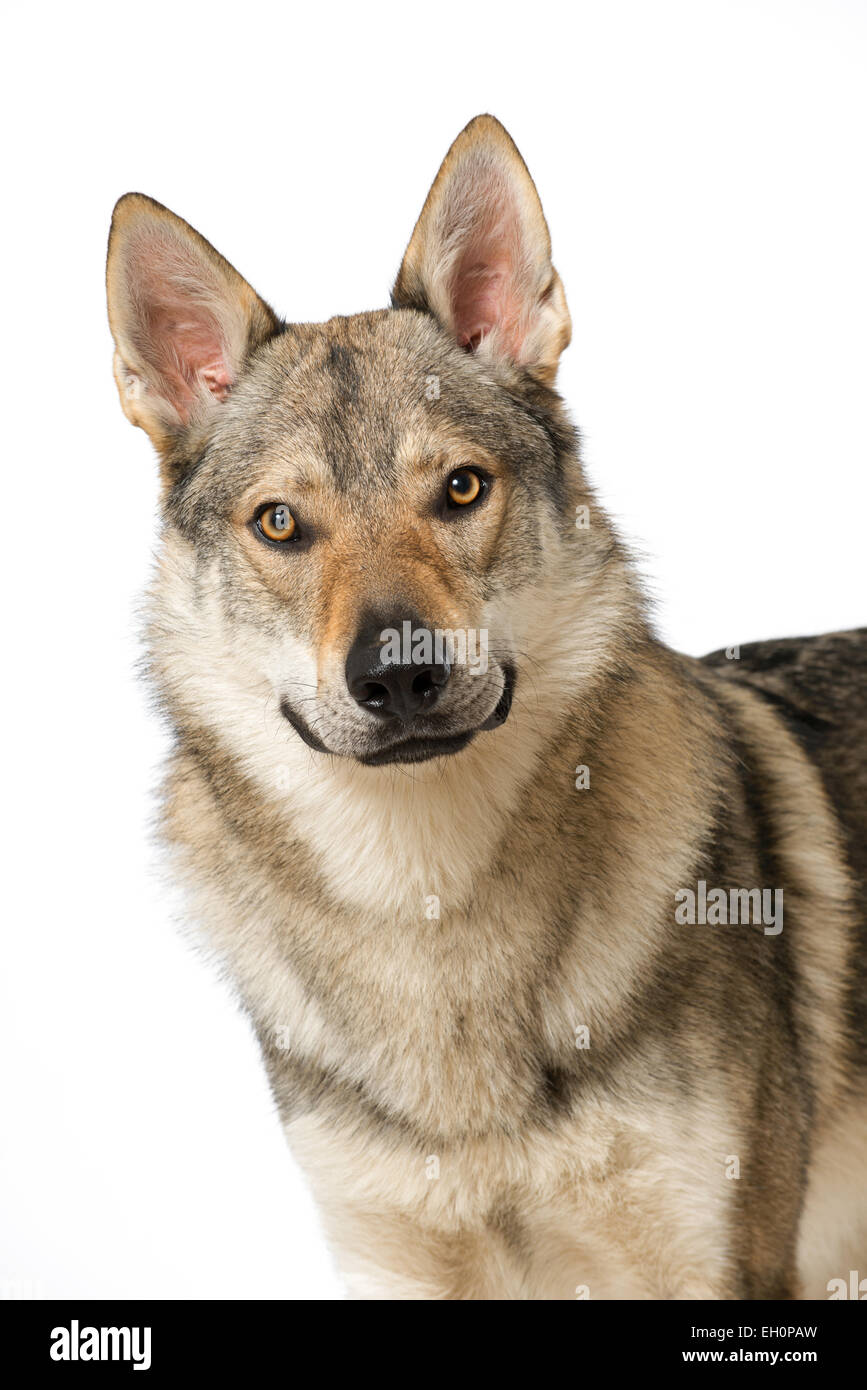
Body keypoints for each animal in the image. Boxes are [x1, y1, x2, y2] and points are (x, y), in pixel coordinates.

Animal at [104, 113, 861, 1295]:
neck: (429, 909)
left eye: (459, 488)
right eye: (280, 523)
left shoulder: (718, 1268)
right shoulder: (394, 1265)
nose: (398, 672)